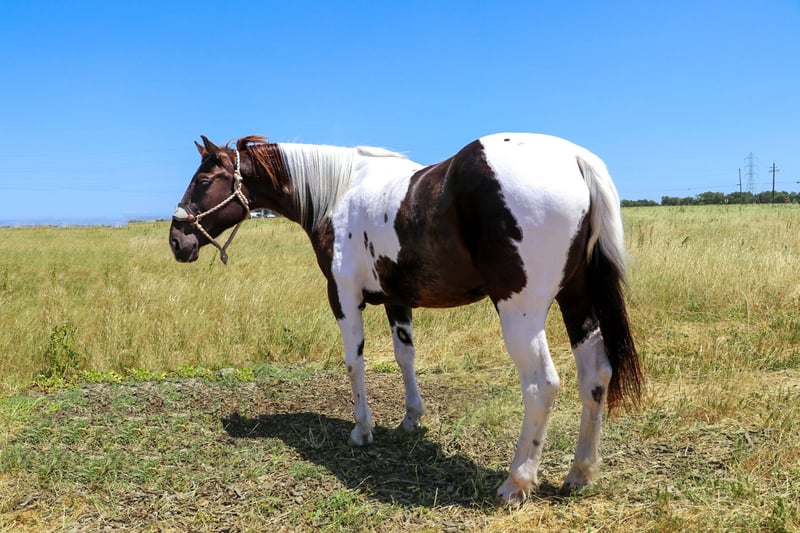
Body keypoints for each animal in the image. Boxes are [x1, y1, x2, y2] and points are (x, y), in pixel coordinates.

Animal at [169, 132, 643, 503]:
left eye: (205, 180)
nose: (176, 240)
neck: (339, 192)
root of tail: (574, 158)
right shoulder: (397, 300)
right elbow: (405, 357)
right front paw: (412, 418)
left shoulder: (343, 297)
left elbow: (354, 362)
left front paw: (362, 429)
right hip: (577, 300)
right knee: (595, 377)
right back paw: (580, 473)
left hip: (521, 312)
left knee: (542, 386)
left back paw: (517, 481)